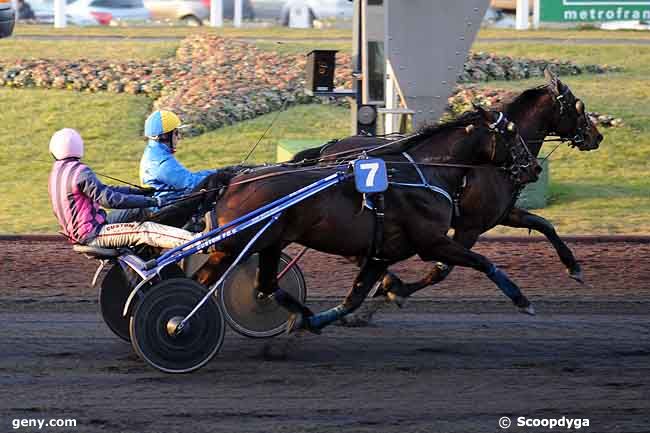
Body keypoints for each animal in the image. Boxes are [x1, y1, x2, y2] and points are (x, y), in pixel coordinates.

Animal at [195, 108, 540, 330]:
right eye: (511, 132)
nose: (533, 167)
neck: (426, 172)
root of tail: (233, 182)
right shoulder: (433, 242)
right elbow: (483, 262)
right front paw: (523, 300)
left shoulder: (381, 254)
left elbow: (354, 298)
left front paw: (315, 321)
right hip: (238, 244)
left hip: (264, 244)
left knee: (258, 284)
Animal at [292, 70, 600, 308]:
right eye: (578, 106)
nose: (596, 136)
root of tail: (327, 150)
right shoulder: (469, 227)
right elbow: (441, 271)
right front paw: (397, 291)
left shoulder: (501, 215)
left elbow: (543, 224)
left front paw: (573, 267)